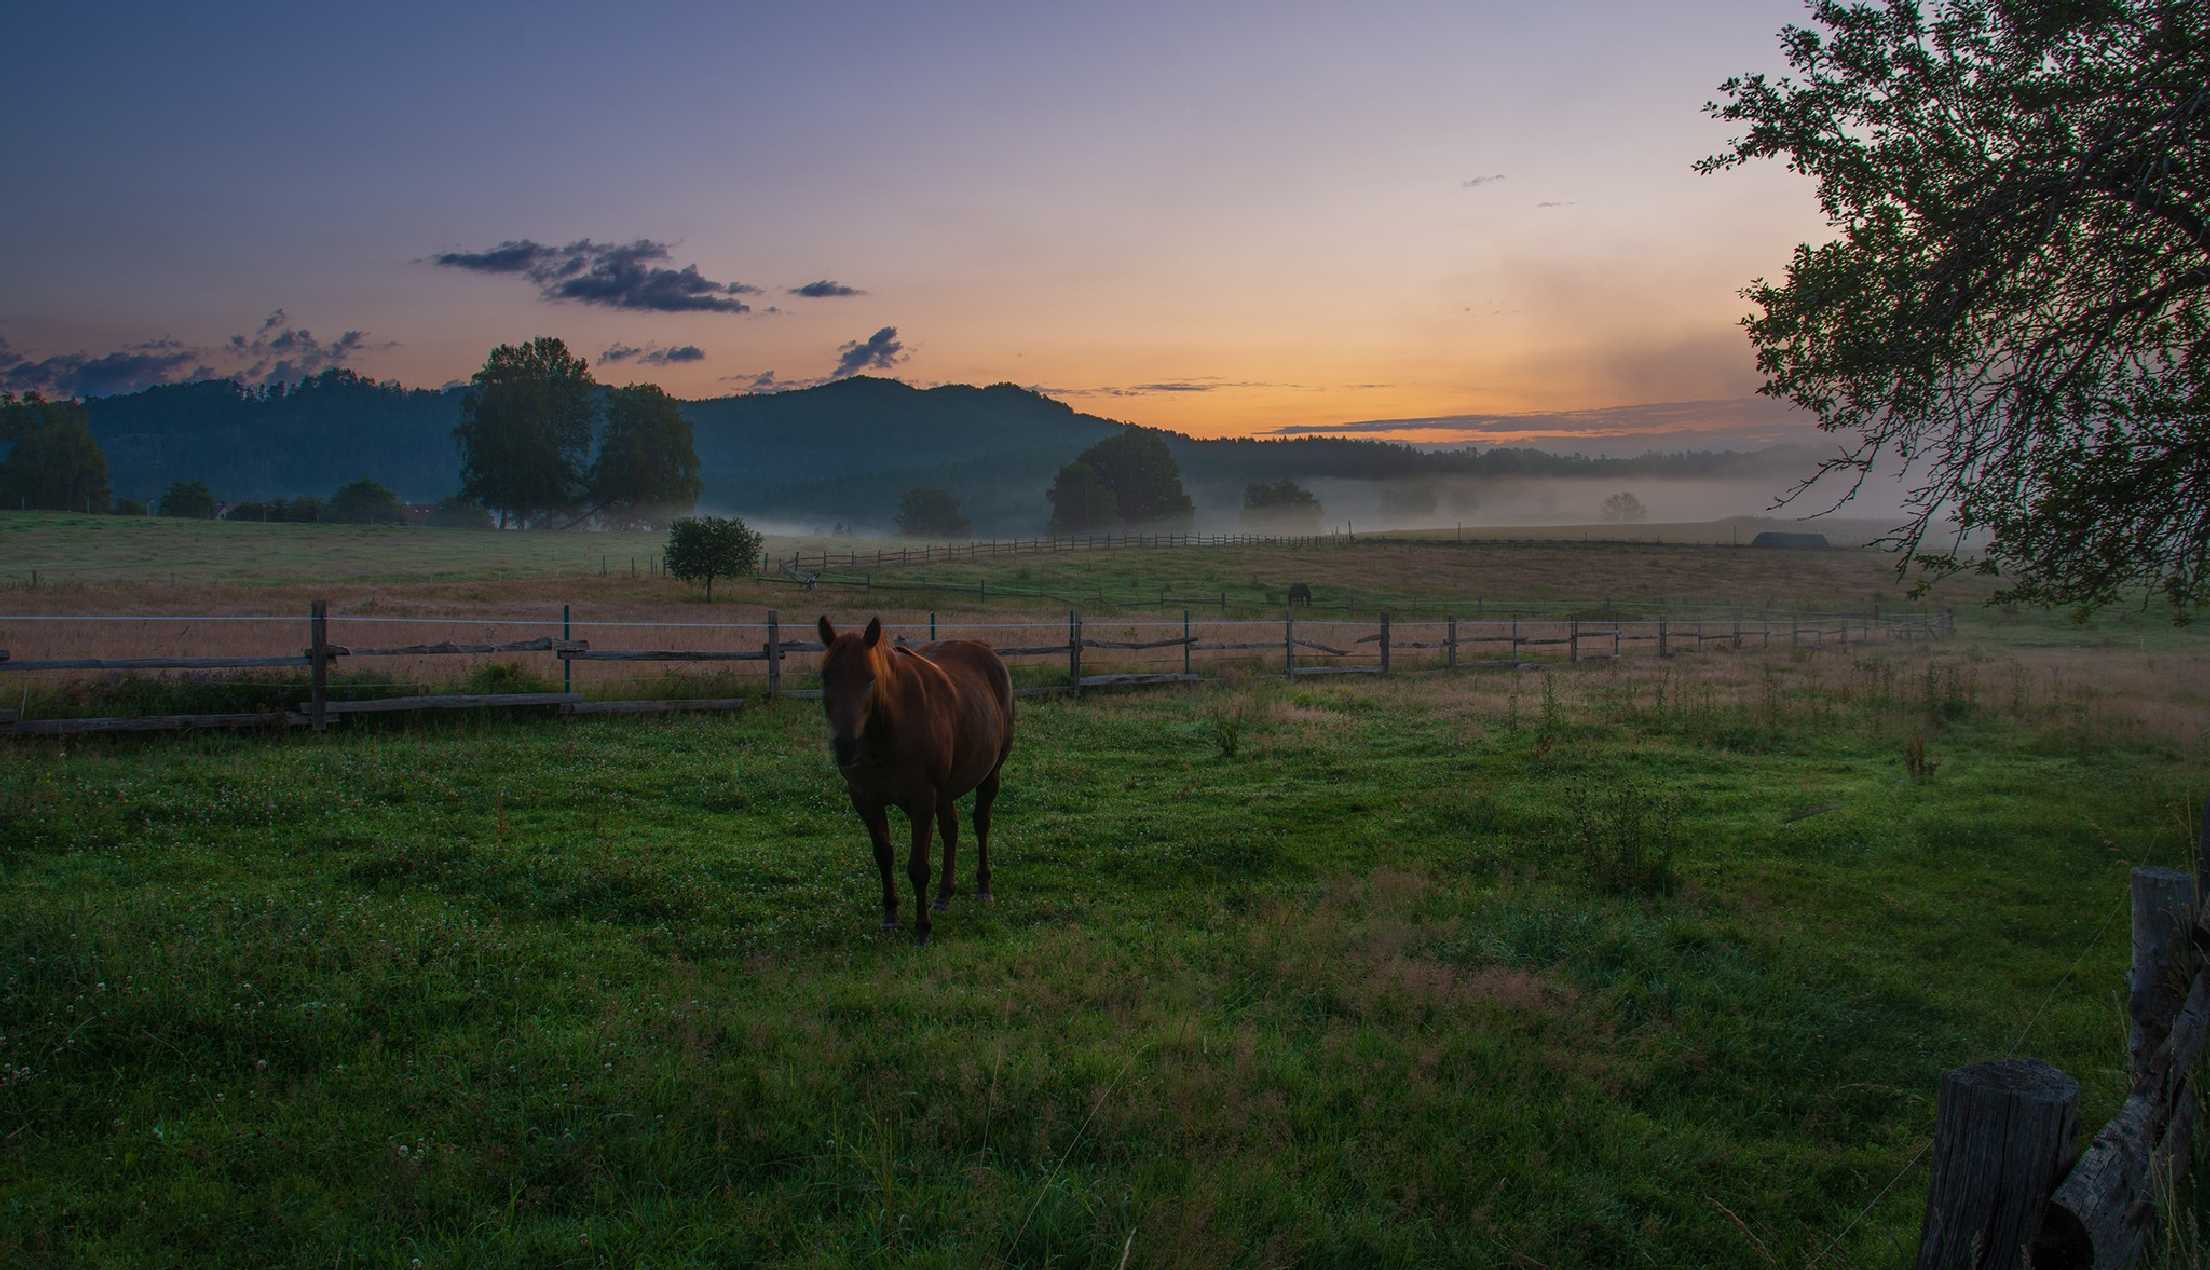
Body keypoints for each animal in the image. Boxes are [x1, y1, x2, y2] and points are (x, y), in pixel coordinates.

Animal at [817, 618, 1012, 945]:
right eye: (825, 678)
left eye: (870, 679)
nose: (845, 747)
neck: (887, 733)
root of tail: (985, 650)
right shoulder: (866, 801)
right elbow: (884, 857)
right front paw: (890, 916)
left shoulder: (921, 801)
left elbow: (918, 867)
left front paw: (922, 929)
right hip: (945, 790)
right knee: (951, 830)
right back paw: (944, 895)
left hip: (990, 774)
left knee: (981, 823)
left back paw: (983, 888)